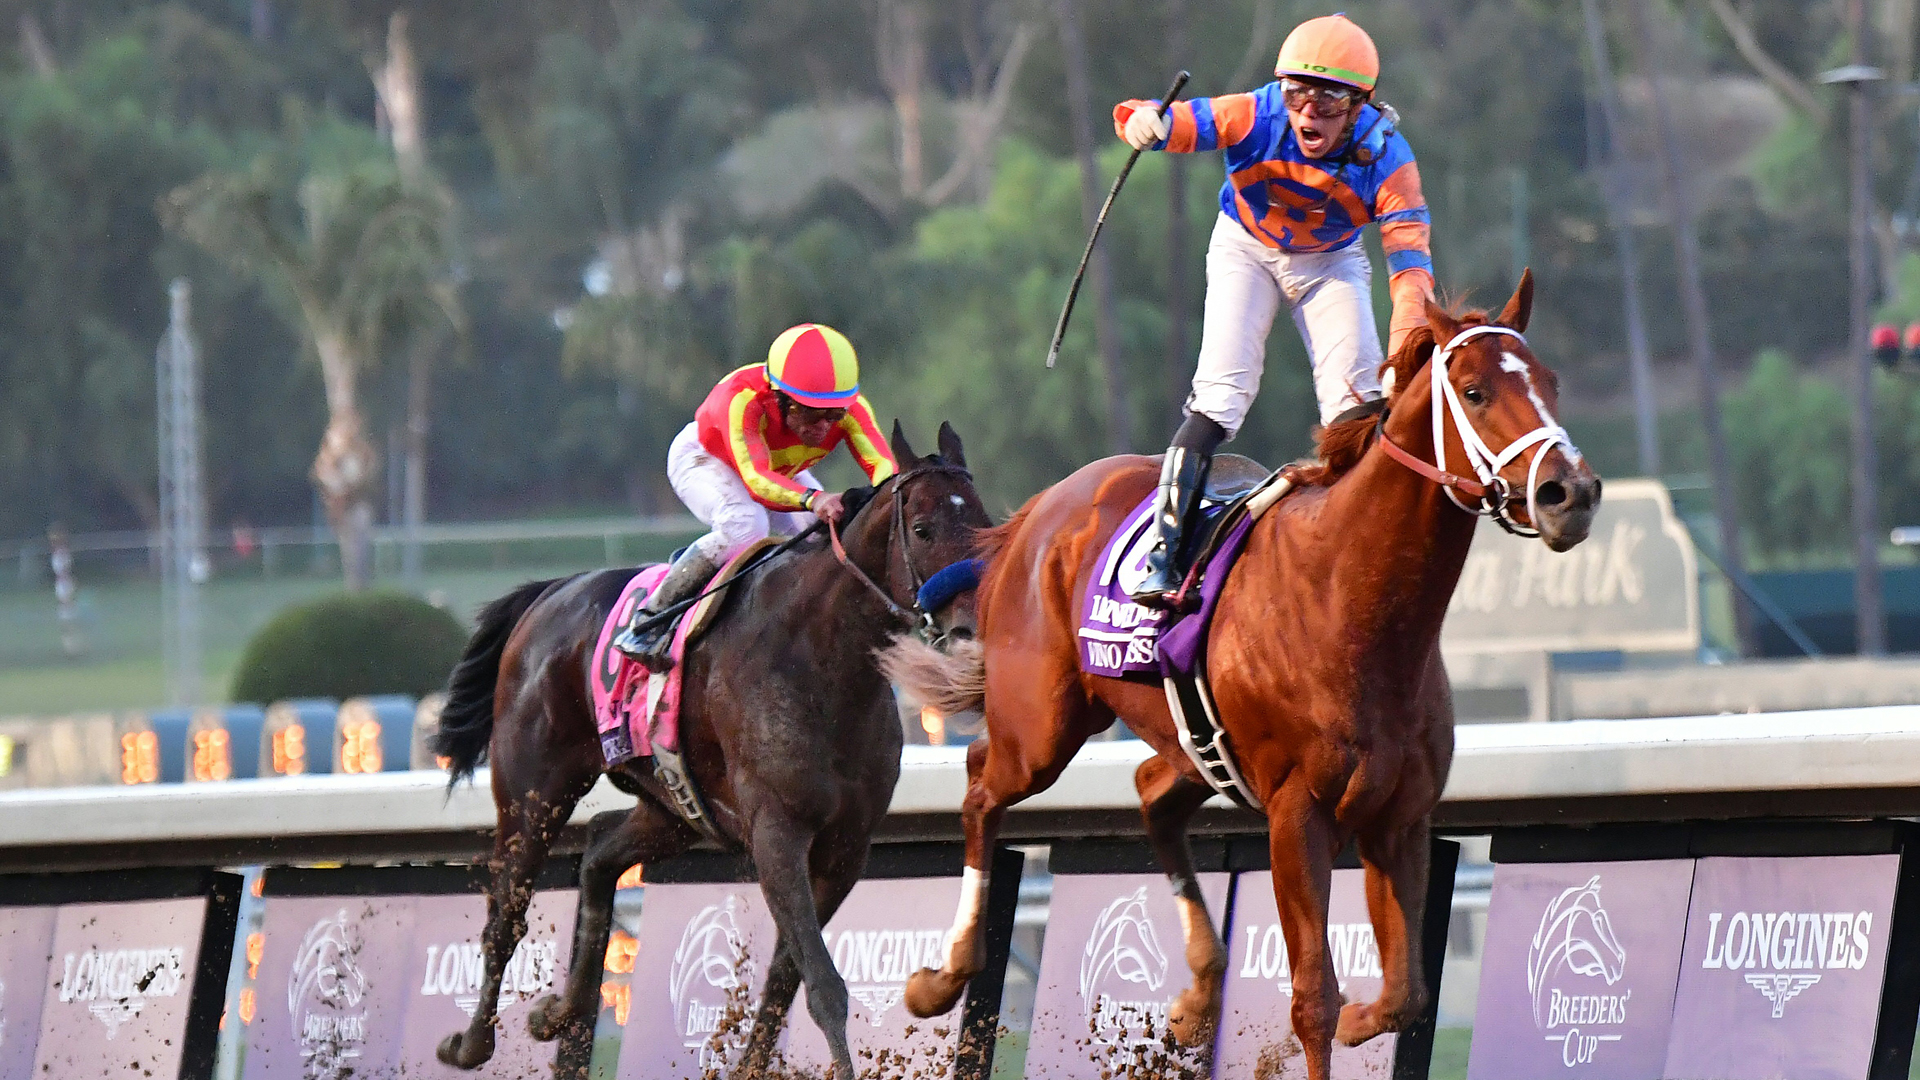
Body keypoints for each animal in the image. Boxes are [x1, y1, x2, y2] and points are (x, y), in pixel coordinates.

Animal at [433, 422, 990, 1076]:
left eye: (983, 523)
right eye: (923, 528)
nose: (972, 629)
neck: (823, 661)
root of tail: (552, 593)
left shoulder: (845, 847)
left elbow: (785, 979)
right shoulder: (777, 831)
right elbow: (823, 984)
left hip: (675, 809)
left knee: (598, 853)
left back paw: (558, 1012)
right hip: (533, 791)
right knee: (506, 911)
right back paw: (470, 1043)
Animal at [890, 274, 1597, 1076]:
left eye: (1550, 383)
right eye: (1475, 392)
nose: (1570, 494)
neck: (1350, 601)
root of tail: (1042, 508)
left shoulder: (1400, 814)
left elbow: (1405, 993)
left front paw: (1359, 1017)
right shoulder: (1297, 814)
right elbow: (1312, 1000)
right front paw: (1333, 1018)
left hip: (1188, 744)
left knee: (1149, 793)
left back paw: (1198, 994)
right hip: (1040, 728)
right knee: (981, 780)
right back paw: (944, 976)